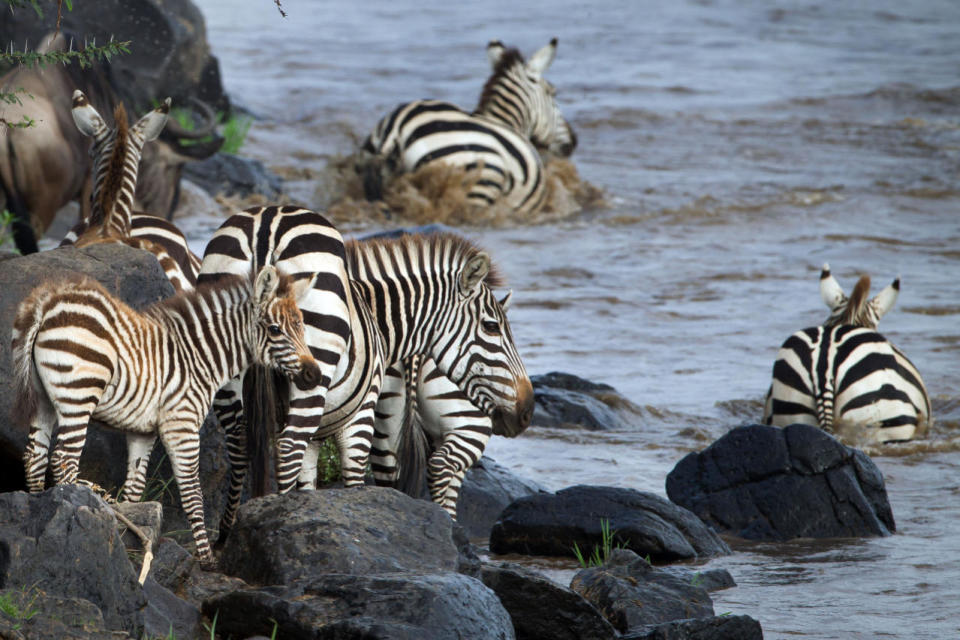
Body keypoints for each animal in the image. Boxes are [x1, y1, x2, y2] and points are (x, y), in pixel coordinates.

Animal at [11, 262, 318, 564]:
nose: (313, 374)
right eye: (275, 329)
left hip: (42, 399)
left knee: (35, 456)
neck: (198, 357)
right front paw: (206, 559)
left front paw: (131, 542)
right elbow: (192, 492)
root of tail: (46, 303)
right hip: (78, 395)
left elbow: (134, 489)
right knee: (64, 460)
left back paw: (38, 512)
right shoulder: (181, 424)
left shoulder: (142, 431)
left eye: (302, 327)